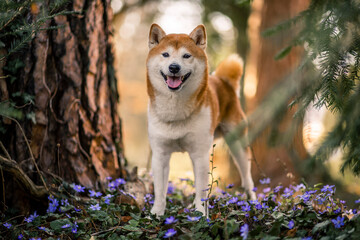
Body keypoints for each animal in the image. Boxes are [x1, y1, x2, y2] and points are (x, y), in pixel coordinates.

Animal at [146, 23, 256, 216]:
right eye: (165, 54)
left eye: (186, 55)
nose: (174, 67)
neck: (176, 110)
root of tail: (222, 81)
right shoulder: (160, 154)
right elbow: (160, 190)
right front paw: (157, 213)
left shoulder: (200, 154)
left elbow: (202, 190)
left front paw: (200, 214)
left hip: (238, 145)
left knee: (248, 179)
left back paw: (254, 203)